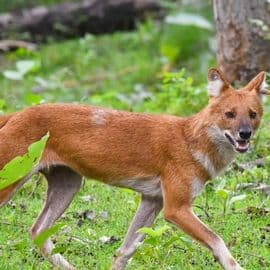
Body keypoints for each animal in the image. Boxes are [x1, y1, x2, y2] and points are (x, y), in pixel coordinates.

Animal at [0, 68, 268, 268]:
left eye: (253, 114)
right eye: (229, 114)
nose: (245, 134)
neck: (190, 140)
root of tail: (17, 113)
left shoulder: (152, 200)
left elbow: (124, 251)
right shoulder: (176, 208)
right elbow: (218, 241)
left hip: (69, 185)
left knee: (38, 231)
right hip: (11, 182)